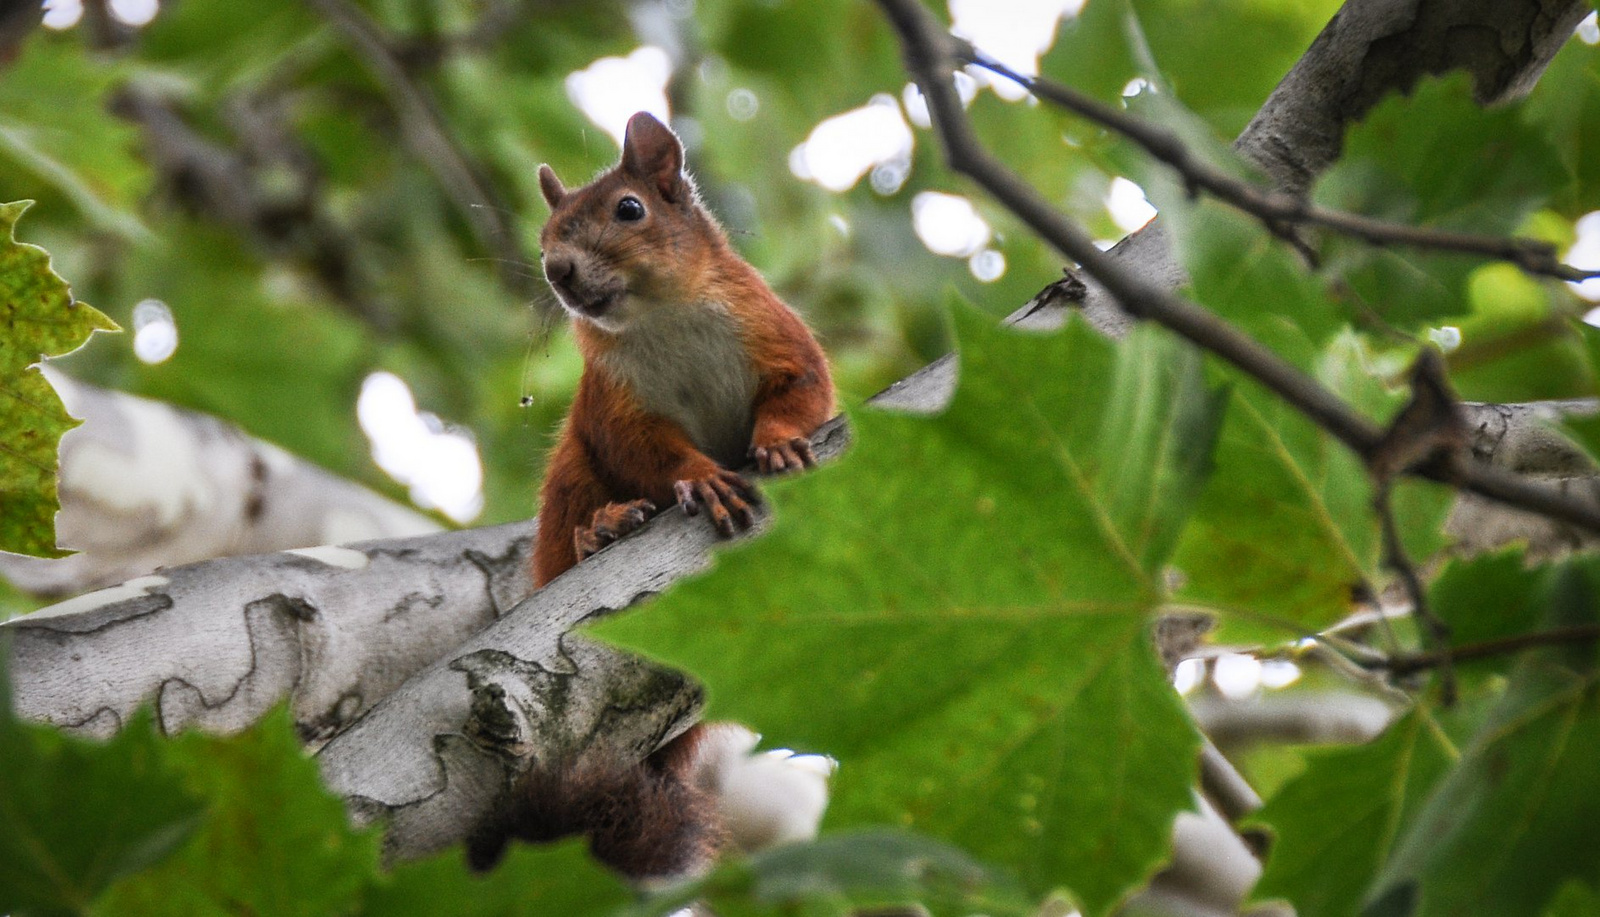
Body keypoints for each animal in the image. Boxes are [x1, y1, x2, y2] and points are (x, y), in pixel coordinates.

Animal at [534, 111, 838, 582]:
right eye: (542, 241)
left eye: (630, 208)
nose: (556, 269)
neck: (662, 315)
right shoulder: (612, 396)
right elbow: (640, 449)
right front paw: (701, 477)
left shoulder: (770, 328)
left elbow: (801, 384)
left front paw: (779, 440)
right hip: (570, 470)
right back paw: (600, 529)